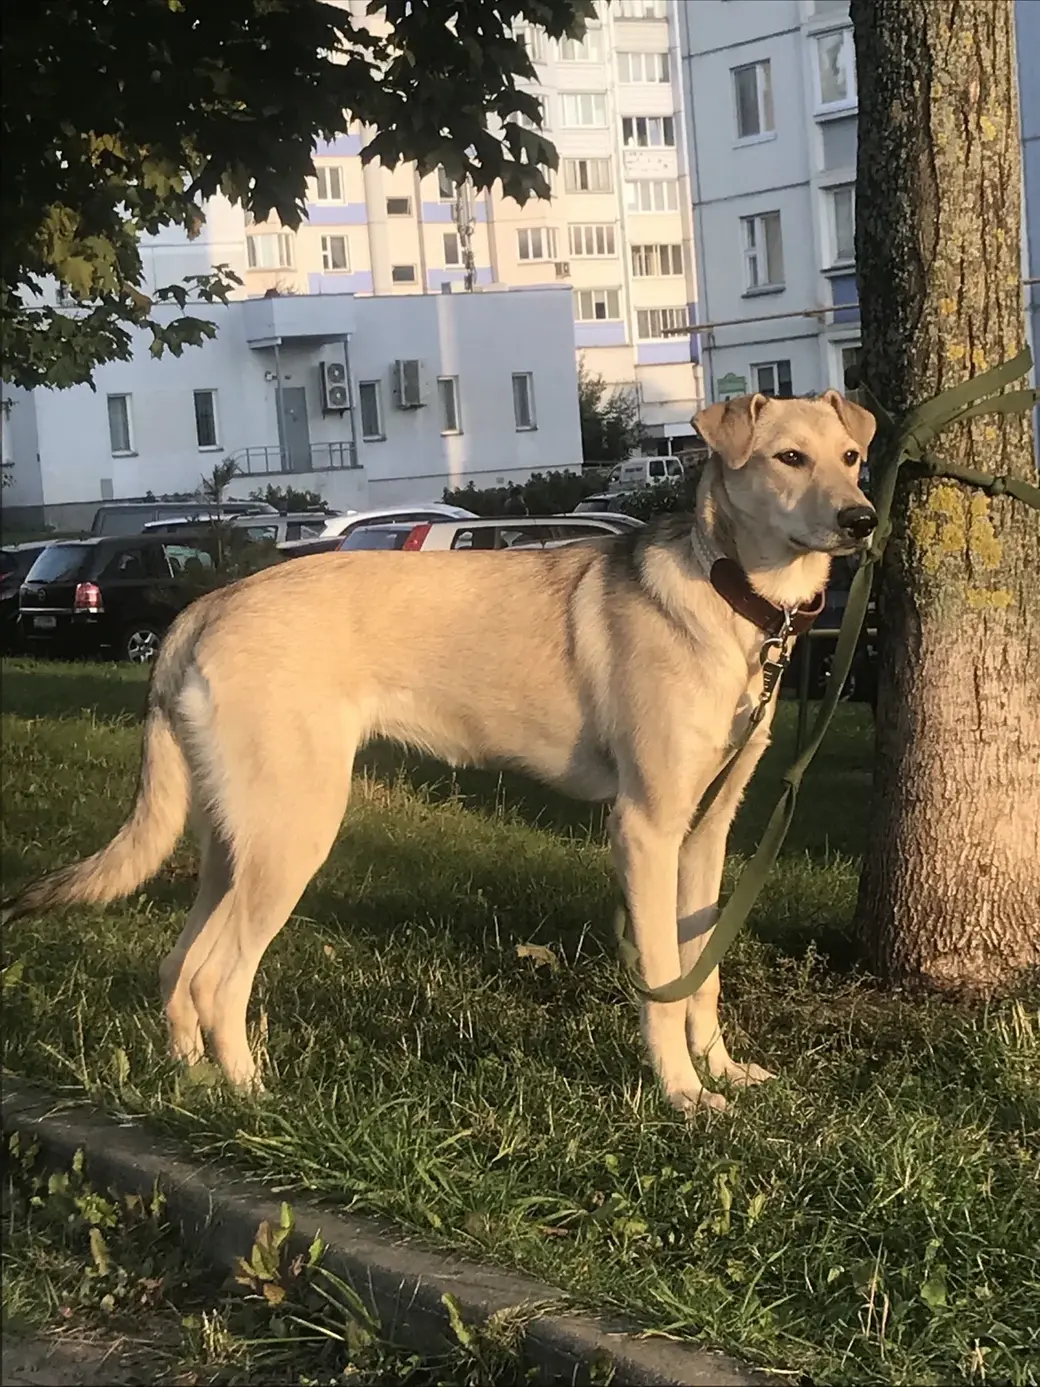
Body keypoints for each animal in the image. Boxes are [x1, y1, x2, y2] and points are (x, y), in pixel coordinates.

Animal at [2, 391, 881, 1115]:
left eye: (850, 455)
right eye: (788, 457)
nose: (863, 520)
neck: (734, 594)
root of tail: (209, 603)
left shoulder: (705, 834)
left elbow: (704, 973)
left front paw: (721, 1070)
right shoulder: (646, 828)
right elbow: (664, 982)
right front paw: (681, 1094)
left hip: (234, 840)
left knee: (177, 970)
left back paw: (195, 1085)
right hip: (293, 835)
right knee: (218, 977)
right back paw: (254, 1096)